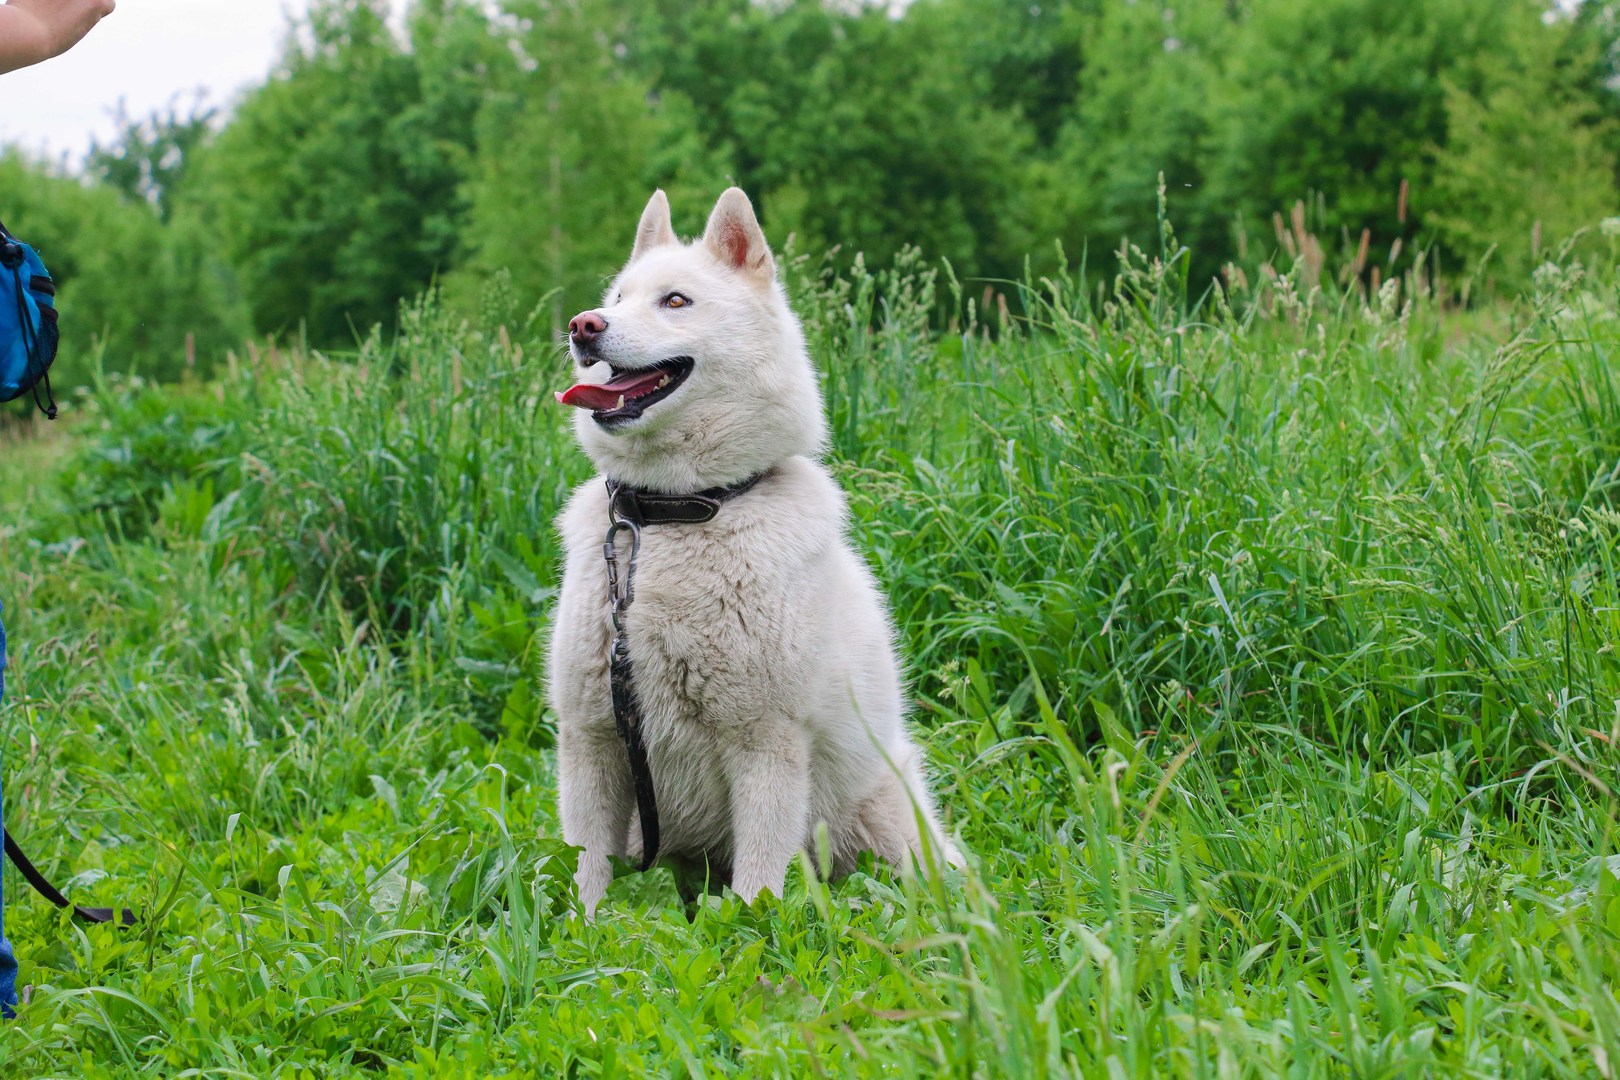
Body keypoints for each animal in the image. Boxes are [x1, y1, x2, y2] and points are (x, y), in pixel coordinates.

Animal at [550, 190, 952, 919]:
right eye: (617, 297)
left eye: (675, 301)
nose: (583, 326)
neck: (676, 513)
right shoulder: (592, 740)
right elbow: (586, 873)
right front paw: (580, 936)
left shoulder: (765, 744)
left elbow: (759, 883)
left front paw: (752, 935)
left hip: (893, 829)